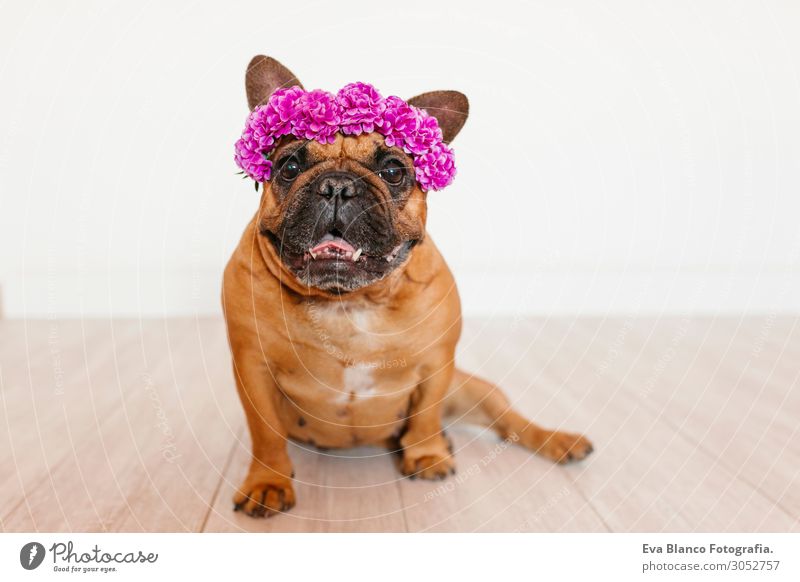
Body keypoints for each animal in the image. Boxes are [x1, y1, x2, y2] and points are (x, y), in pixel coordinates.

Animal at [222, 56, 592, 520]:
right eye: (289, 165)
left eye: (394, 171)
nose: (337, 185)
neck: (348, 302)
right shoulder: (252, 368)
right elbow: (266, 433)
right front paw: (267, 480)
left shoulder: (436, 364)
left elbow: (426, 416)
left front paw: (427, 455)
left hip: (474, 390)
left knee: (512, 422)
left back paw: (559, 440)